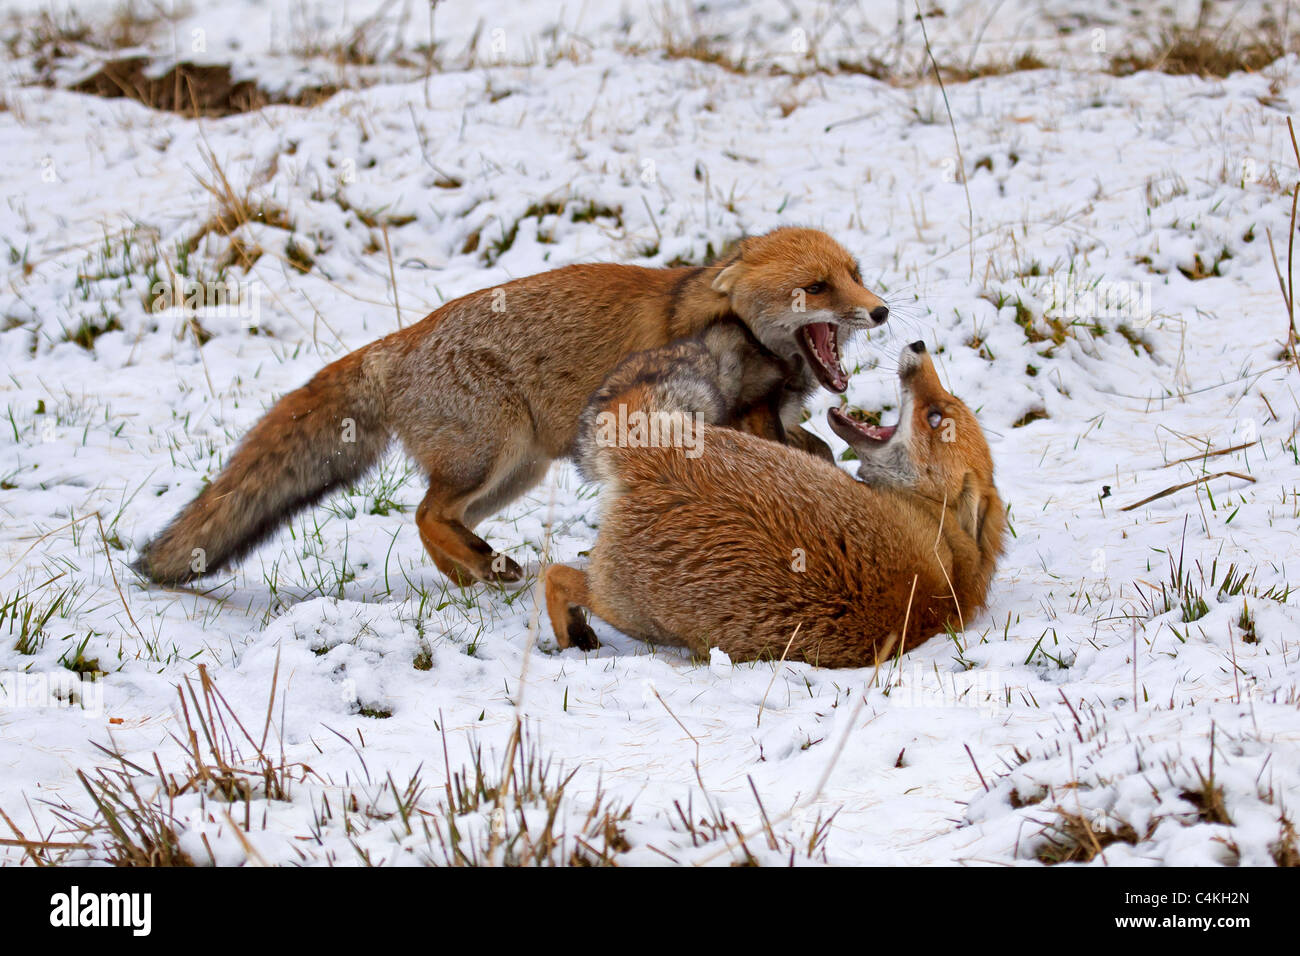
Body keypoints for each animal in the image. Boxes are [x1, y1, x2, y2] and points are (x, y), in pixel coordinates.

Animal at [131, 227, 889, 587]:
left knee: (437, 519)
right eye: (816, 287)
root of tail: (403, 339)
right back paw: (483, 570)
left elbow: (815, 449)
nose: (882, 310)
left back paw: (469, 573)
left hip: (516, 472)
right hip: (490, 455)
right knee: (425, 513)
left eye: (856, 274)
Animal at [546, 343, 1003, 665]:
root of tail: (658, 457)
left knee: (555, 578)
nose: (919, 344)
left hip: (633, 611)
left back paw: (571, 635)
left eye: (935, 418)